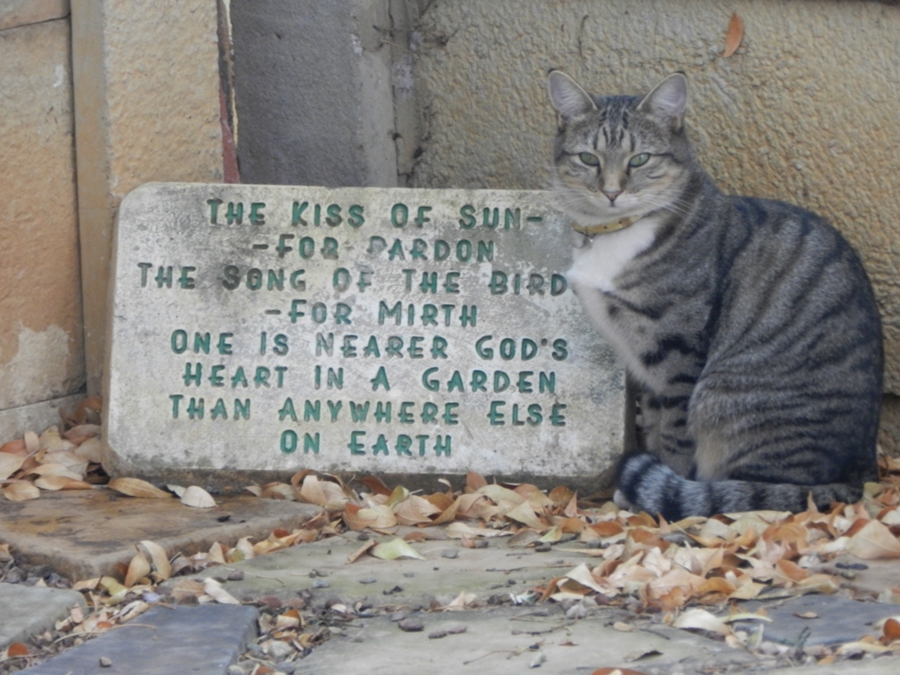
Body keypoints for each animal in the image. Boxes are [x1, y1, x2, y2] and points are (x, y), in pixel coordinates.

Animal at [544, 70, 884, 524]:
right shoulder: (645, 366)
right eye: (588, 159)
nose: (612, 192)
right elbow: (656, 426)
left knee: (760, 489)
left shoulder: (676, 350)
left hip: (726, 398)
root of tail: (862, 474)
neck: (616, 232)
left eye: (640, 160)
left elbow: (674, 432)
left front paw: (657, 494)